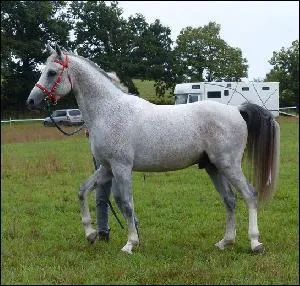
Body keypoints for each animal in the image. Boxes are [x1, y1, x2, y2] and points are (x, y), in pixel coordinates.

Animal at [27, 43, 280, 254]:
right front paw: (90, 234)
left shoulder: (121, 167)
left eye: (51, 72)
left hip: (228, 165)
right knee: (230, 200)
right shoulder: (107, 168)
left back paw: (255, 243)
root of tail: (236, 110)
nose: (31, 100)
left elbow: (126, 204)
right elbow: (82, 191)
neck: (109, 110)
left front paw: (130, 244)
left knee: (249, 195)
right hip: (213, 167)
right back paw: (225, 242)